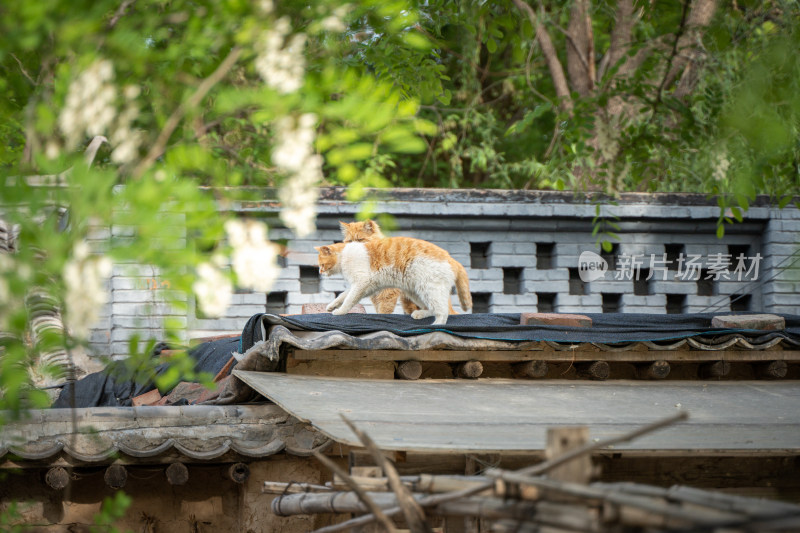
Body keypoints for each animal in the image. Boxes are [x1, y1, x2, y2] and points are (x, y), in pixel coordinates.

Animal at [316, 236, 472, 324]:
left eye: (322, 265)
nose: (319, 272)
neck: (344, 255)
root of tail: (450, 258)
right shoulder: (366, 286)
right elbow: (343, 295)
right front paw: (332, 305)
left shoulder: (361, 282)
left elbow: (349, 300)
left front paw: (340, 311)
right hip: (415, 292)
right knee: (433, 309)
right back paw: (420, 314)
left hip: (429, 289)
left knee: (443, 311)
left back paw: (437, 326)